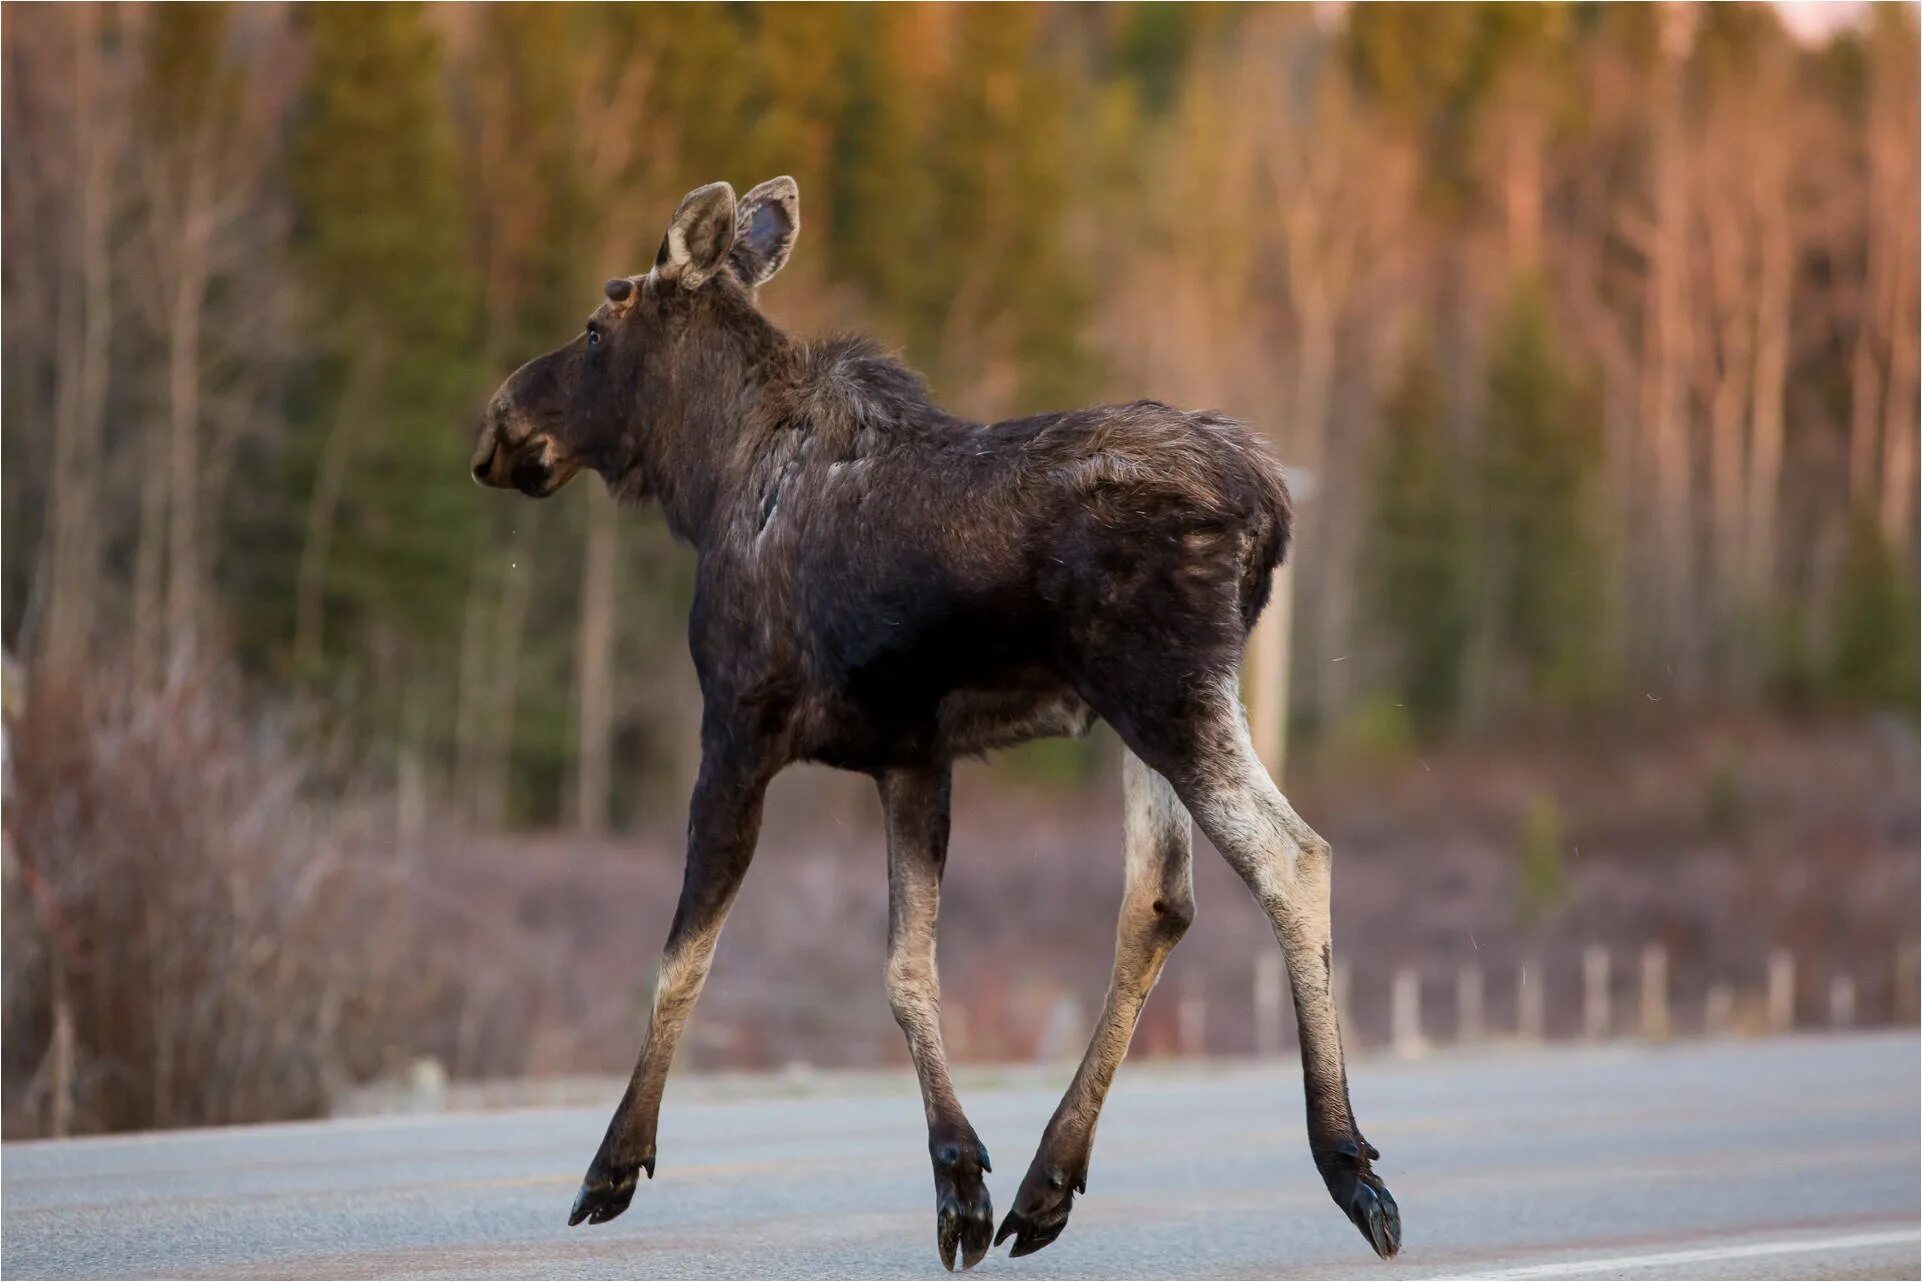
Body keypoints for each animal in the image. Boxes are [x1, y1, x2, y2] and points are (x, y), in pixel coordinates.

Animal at [465, 175, 1399, 1268]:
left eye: (595, 324)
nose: (497, 425)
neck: (705, 481)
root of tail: (1272, 505)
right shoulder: (912, 756)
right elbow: (908, 969)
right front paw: (960, 1180)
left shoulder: (735, 729)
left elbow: (681, 960)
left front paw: (614, 1162)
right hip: (1171, 698)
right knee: (1160, 899)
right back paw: (1048, 1179)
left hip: (1161, 688)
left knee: (1291, 857)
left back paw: (1346, 1163)